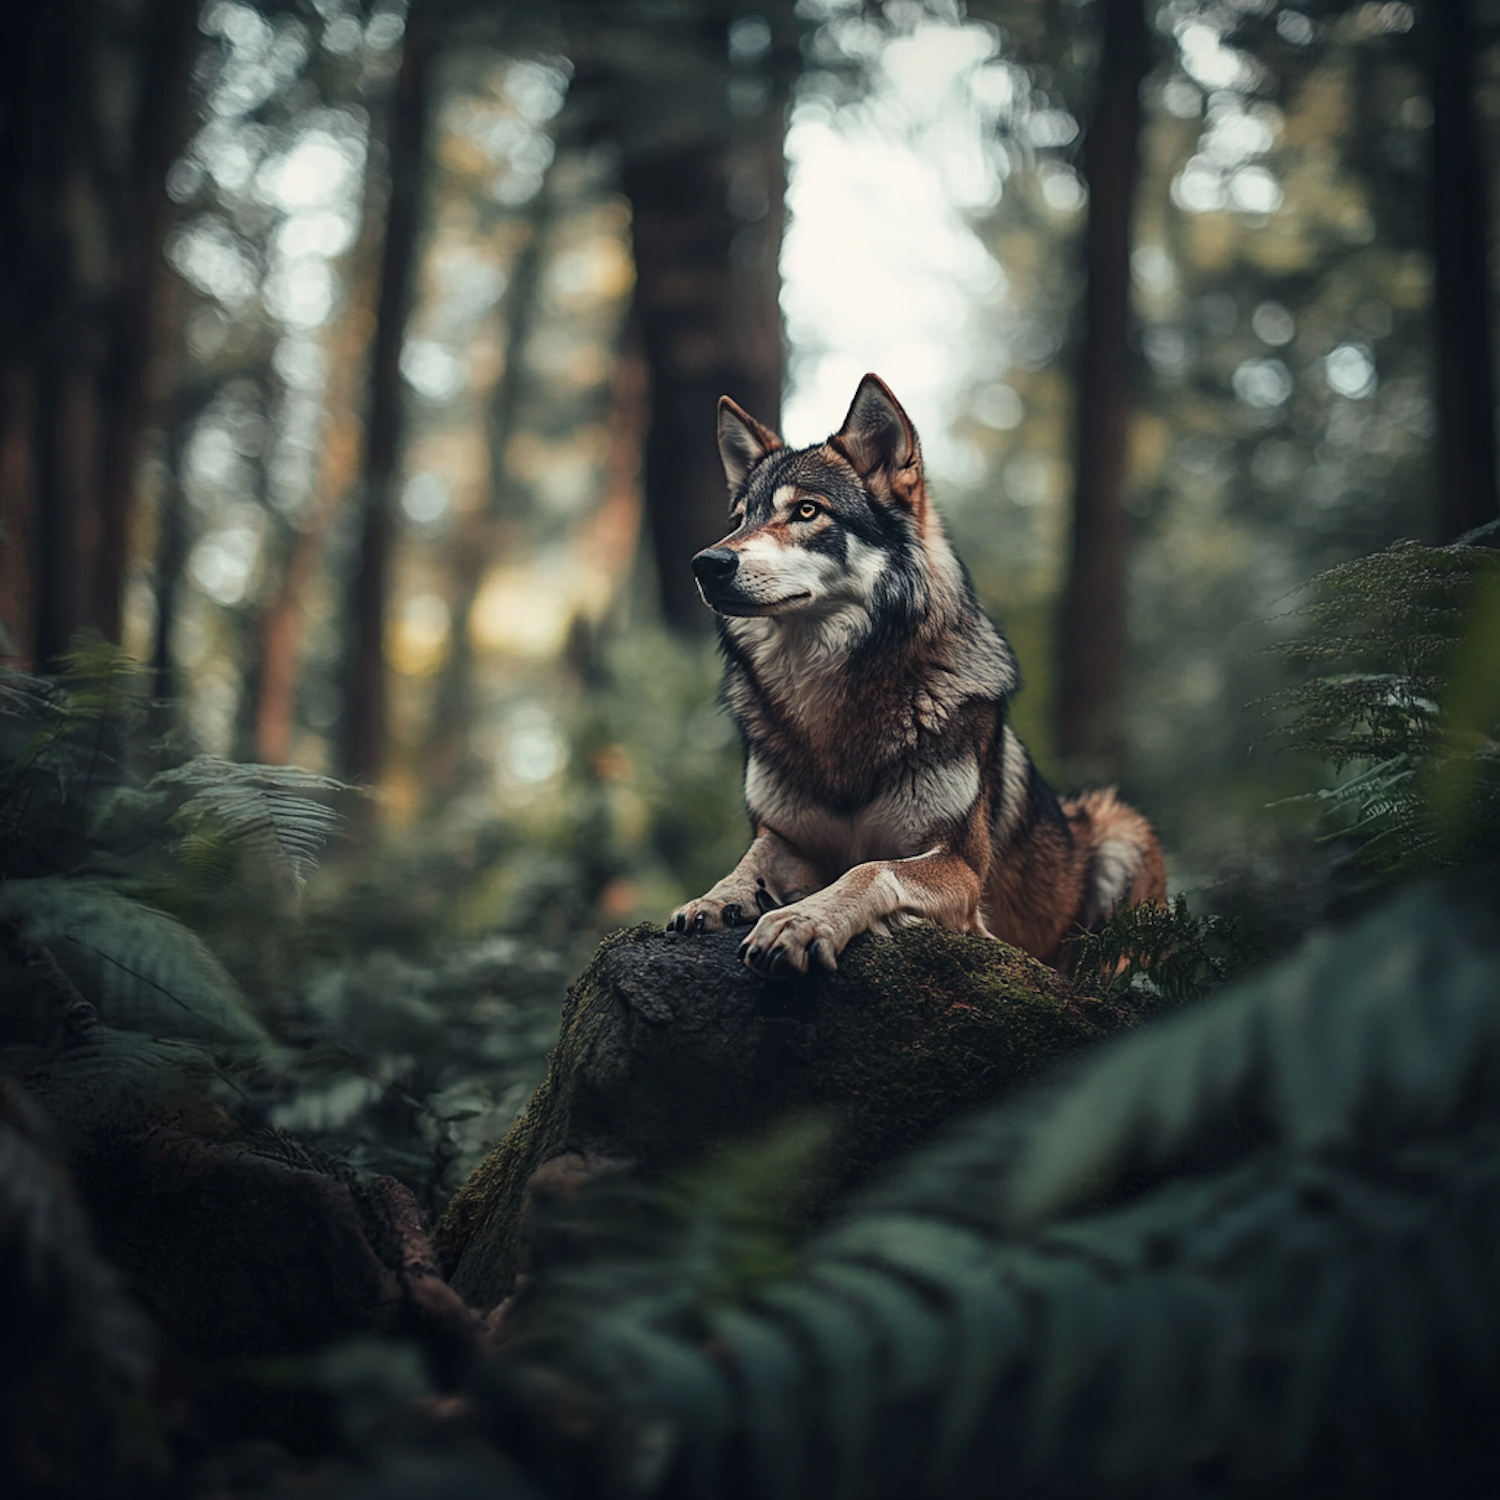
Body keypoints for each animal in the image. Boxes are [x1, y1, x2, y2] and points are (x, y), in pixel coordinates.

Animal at [669, 375, 1170, 978]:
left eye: (807, 511)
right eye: (740, 520)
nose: (706, 563)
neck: (828, 705)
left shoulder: (960, 867)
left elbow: (868, 869)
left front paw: (798, 921)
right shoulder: (784, 835)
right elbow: (751, 858)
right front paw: (715, 898)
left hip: (1122, 829)